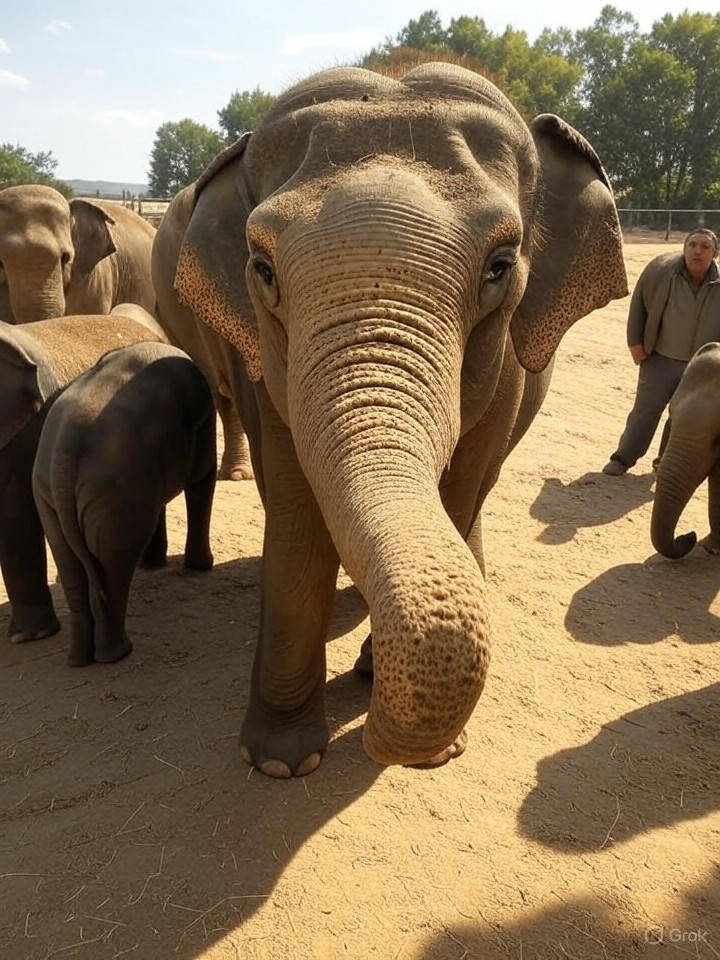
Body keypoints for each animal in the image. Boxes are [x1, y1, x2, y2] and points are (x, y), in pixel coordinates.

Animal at [33, 341, 216, 666]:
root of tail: (62, 456)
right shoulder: (203, 424)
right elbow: (202, 480)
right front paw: (202, 567)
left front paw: (155, 565)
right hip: (114, 491)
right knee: (116, 560)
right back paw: (118, 653)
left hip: (50, 496)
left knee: (71, 563)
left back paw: (79, 659)